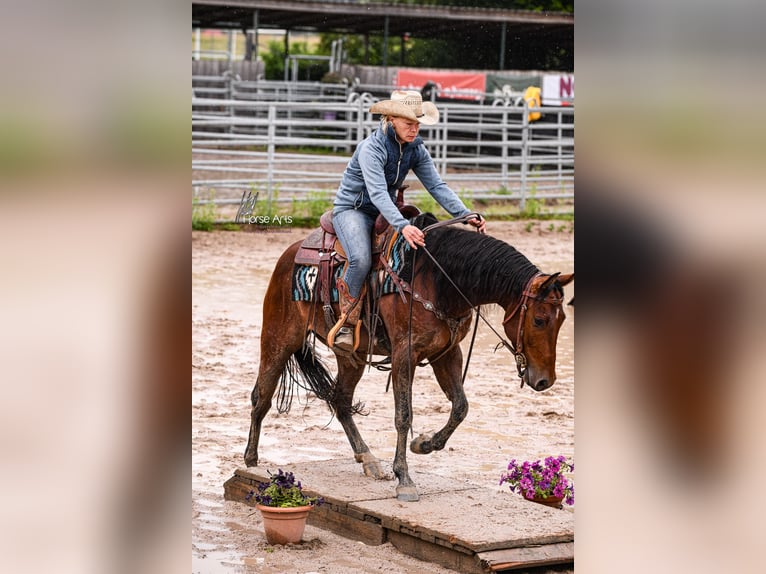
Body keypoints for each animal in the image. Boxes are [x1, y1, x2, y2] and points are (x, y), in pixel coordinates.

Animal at [244, 213, 573, 501]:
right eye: (540, 320)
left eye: (562, 319)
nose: (544, 381)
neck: (439, 279)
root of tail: (290, 254)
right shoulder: (405, 354)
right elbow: (404, 414)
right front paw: (404, 478)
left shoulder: (447, 353)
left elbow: (460, 407)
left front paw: (424, 444)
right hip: (278, 338)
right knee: (262, 396)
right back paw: (251, 460)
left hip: (351, 356)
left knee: (340, 401)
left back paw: (368, 458)